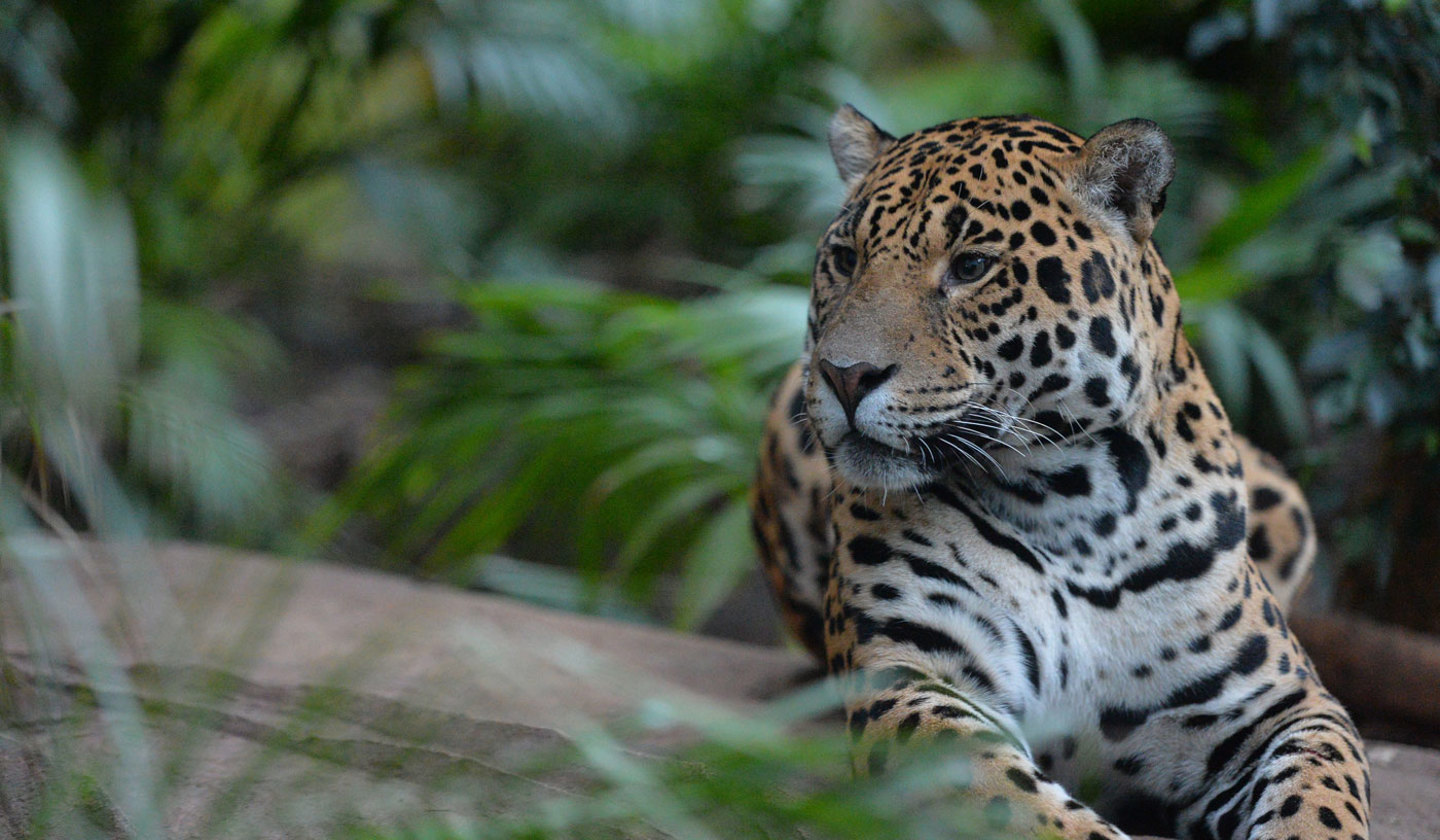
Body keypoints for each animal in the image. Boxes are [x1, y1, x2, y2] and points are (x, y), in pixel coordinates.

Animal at [750, 106, 1368, 840]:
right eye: (846, 260)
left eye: (971, 266)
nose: (844, 376)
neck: (1070, 498)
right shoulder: (912, 682)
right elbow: (1026, 808)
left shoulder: (1280, 704)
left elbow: (1320, 799)